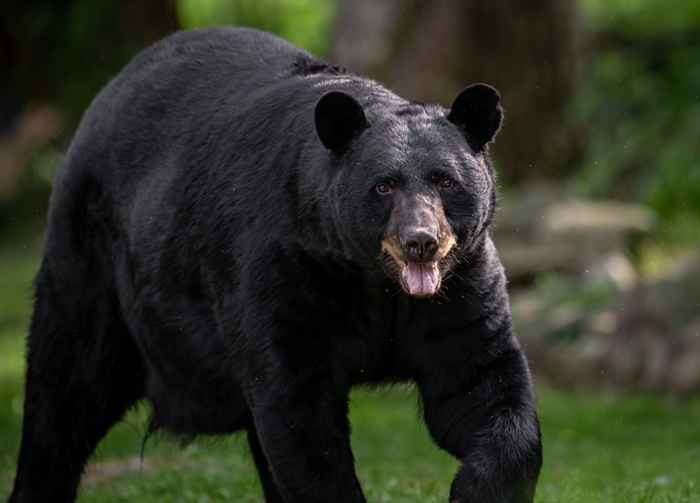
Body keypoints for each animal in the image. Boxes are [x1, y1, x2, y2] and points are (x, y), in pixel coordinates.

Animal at [6, 28, 540, 503]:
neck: (374, 282)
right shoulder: (283, 272)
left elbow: (480, 385)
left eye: (445, 180)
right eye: (383, 186)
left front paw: (475, 489)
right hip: (93, 260)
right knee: (66, 388)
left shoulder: (461, 288)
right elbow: (298, 415)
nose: (420, 242)